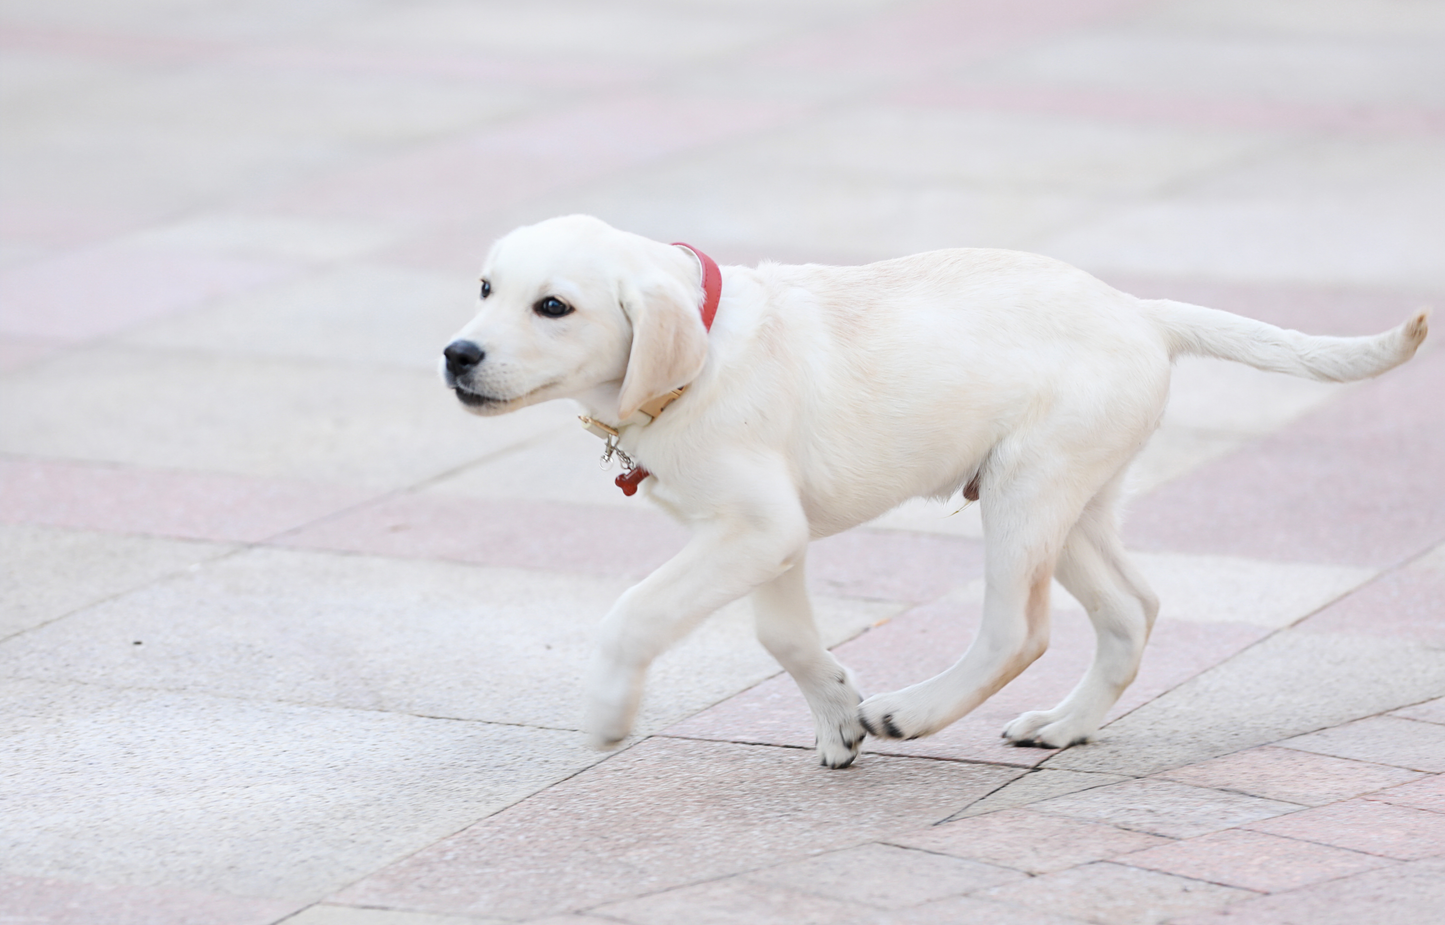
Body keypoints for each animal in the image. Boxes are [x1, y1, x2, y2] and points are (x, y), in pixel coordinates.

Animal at [442, 213, 1433, 768]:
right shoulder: (769, 537)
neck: (701, 352)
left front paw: (609, 711)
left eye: (553, 307)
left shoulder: (755, 527)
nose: (457, 353)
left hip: (1028, 486)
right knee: (1131, 608)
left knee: (1019, 630)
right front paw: (835, 716)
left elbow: (634, 612)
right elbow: (783, 636)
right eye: (484, 287)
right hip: (1069, 497)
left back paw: (914, 711)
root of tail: (1140, 311)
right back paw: (1063, 726)